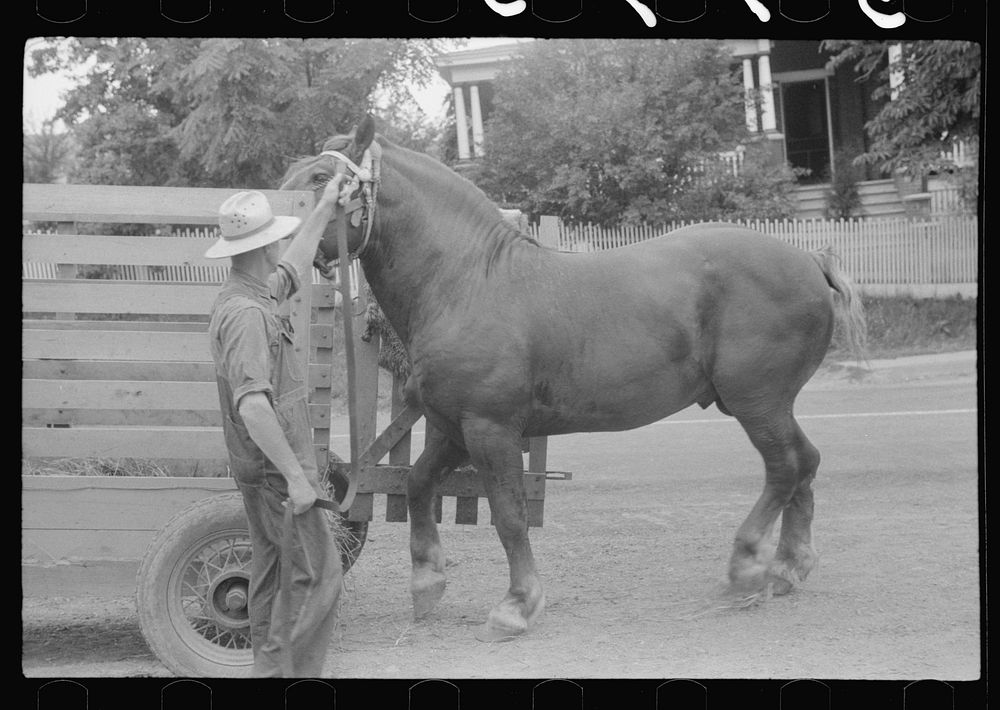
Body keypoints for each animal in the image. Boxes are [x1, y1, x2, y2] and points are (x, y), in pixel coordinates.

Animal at [280, 115, 868, 640]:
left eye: (320, 178)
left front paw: (517, 605)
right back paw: (789, 566)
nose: (277, 246)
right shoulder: (453, 428)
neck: (467, 282)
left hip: (756, 402)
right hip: (768, 404)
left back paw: (747, 564)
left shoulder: (491, 430)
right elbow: (419, 485)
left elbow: (509, 516)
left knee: (784, 468)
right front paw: (427, 582)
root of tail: (810, 261)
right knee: (805, 462)